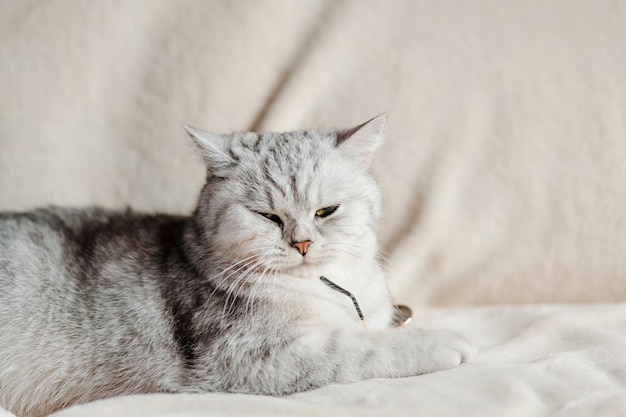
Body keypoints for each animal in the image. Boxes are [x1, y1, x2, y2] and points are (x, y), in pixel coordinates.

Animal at [0, 115, 472, 416]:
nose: (302, 243)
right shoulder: (245, 358)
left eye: (326, 211)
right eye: (268, 217)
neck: (328, 286)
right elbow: (362, 348)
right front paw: (442, 342)